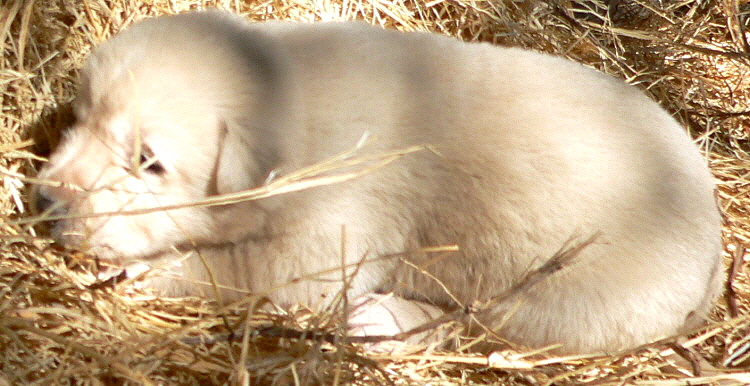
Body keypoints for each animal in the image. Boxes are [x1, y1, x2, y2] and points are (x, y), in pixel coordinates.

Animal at [32, 10, 724, 354]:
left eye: (149, 160)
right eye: (79, 115)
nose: (47, 199)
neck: (285, 93)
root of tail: (717, 250)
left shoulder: (324, 236)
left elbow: (234, 271)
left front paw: (132, 270)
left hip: (568, 301)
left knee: (474, 327)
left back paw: (380, 319)